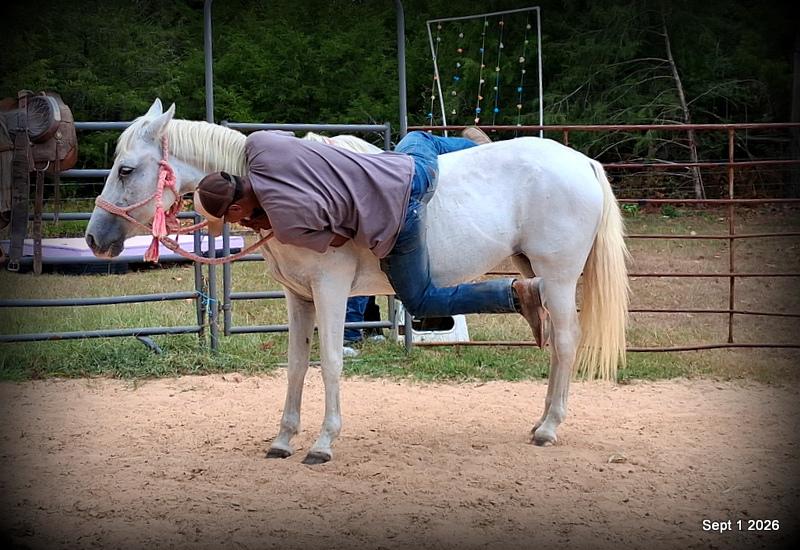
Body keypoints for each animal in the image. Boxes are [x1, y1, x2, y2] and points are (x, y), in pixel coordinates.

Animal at [85, 99, 629, 464]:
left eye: (126, 169)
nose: (95, 237)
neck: (270, 193)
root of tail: (583, 162)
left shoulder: (330, 291)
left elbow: (329, 363)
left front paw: (323, 443)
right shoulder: (298, 297)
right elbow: (296, 366)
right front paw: (283, 439)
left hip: (559, 276)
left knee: (565, 342)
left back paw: (550, 428)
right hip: (529, 269)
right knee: (542, 322)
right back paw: (539, 415)